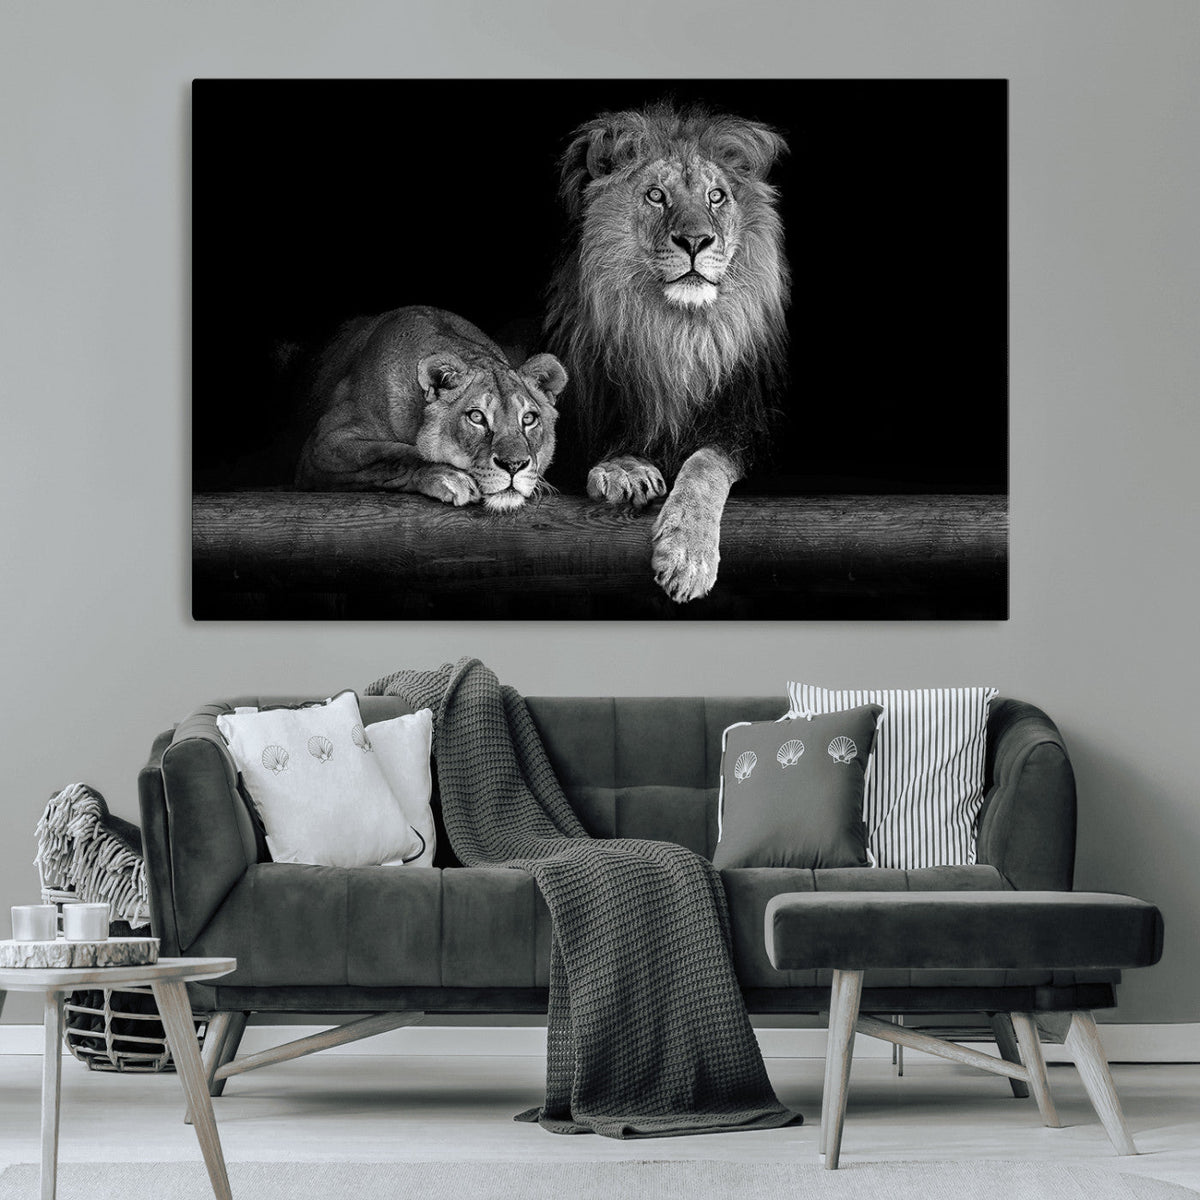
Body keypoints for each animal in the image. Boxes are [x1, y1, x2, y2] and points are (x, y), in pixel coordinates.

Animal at [295, 306, 567, 513]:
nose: (514, 465)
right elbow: (394, 455)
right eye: (476, 417)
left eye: (529, 418)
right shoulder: (323, 444)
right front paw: (449, 476)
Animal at [545, 101, 790, 602]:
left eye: (716, 197)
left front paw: (687, 556)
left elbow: (705, 463)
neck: (675, 333)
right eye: (656, 195)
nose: (695, 241)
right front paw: (624, 469)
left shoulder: (749, 427)